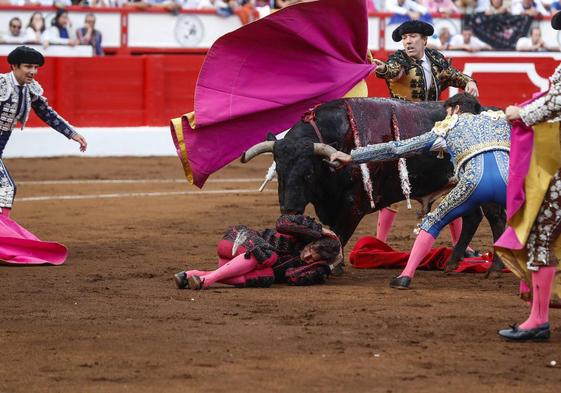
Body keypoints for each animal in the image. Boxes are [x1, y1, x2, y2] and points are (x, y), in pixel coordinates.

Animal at [243, 97, 506, 272]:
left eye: (308, 174)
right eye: (279, 172)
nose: (290, 210)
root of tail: (491, 111)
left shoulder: (352, 207)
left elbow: (339, 234)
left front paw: (332, 266)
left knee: (495, 218)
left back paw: (495, 266)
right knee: (472, 218)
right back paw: (452, 262)